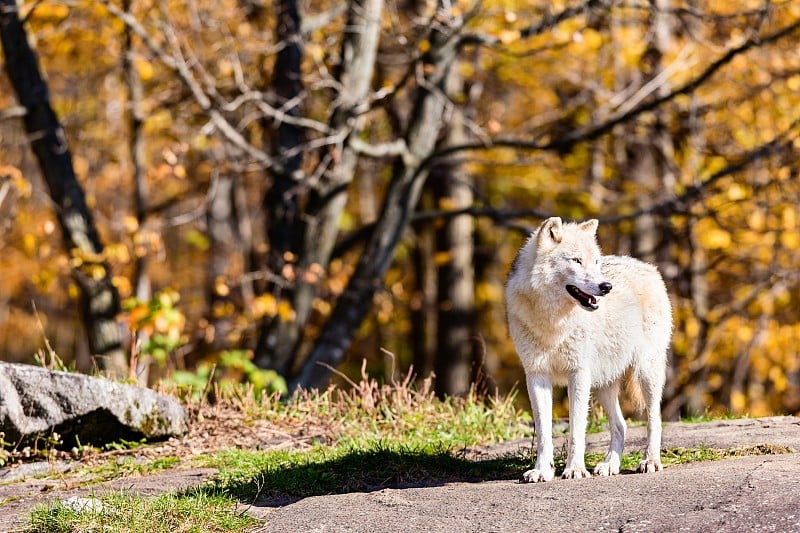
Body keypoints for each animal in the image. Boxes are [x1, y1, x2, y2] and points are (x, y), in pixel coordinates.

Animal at [506, 214, 676, 480]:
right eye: (576, 260)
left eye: (595, 262)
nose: (607, 286)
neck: (554, 322)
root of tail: (648, 267)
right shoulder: (536, 375)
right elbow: (543, 433)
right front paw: (542, 471)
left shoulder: (578, 374)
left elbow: (576, 430)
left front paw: (575, 469)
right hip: (603, 384)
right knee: (621, 425)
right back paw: (609, 465)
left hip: (646, 373)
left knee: (654, 419)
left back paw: (650, 461)